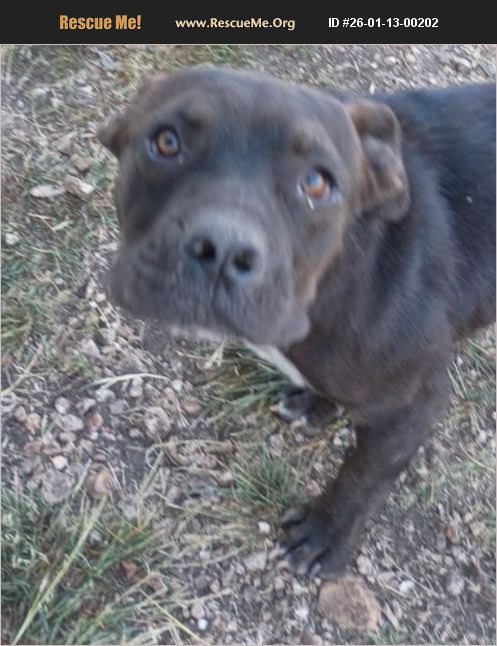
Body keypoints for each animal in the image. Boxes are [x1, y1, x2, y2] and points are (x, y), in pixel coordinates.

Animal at [98, 66, 496, 577]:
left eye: (317, 183)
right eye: (166, 142)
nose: (224, 248)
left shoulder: (414, 406)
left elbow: (362, 477)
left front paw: (326, 533)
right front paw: (315, 403)